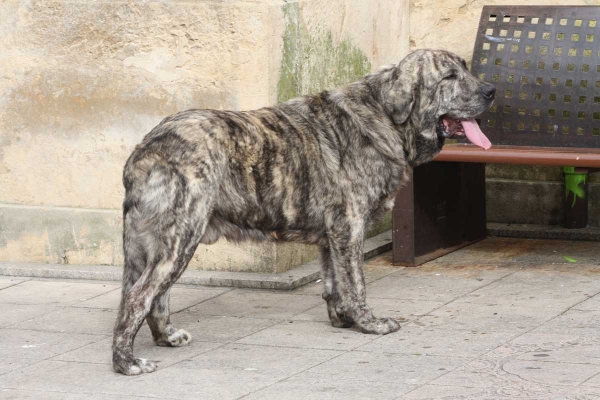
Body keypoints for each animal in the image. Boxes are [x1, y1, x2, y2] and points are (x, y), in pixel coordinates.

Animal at [112, 49, 496, 376]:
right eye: (449, 76)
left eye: (465, 67)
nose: (491, 90)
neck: (384, 117)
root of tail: (146, 149)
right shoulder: (349, 228)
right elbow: (356, 284)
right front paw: (369, 323)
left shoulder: (332, 237)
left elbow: (334, 283)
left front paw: (343, 320)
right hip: (180, 239)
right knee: (138, 297)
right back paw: (126, 362)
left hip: (157, 245)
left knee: (153, 297)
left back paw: (165, 337)